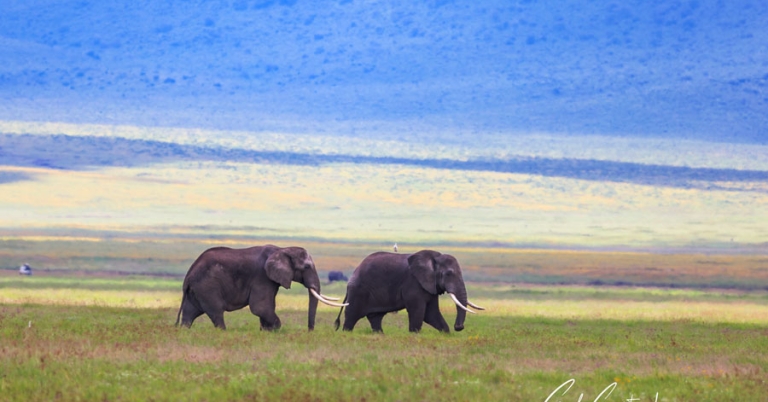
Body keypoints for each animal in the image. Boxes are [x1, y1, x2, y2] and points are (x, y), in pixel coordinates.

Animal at [175, 245, 346, 331]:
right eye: (306, 267)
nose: (310, 331)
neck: (282, 249)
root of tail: (188, 275)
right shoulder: (262, 276)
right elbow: (260, 307)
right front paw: (274, 330)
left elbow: (265, 307)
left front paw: (265, 331)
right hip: (207, 287)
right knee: (216, 313)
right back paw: (223, 331)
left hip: (196, 290)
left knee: (189, 314)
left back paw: (184, 331)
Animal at [333, 250, 484, 333]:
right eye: (448, 274)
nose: (459, 327)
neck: (434, 258)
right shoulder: (413, 283)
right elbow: (419, 312)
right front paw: (414, 335)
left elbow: (431, 314)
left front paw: (446, 333)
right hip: (358, 291)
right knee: (351, 317)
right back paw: (346, 333)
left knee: (375, 318)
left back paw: (380, 335)